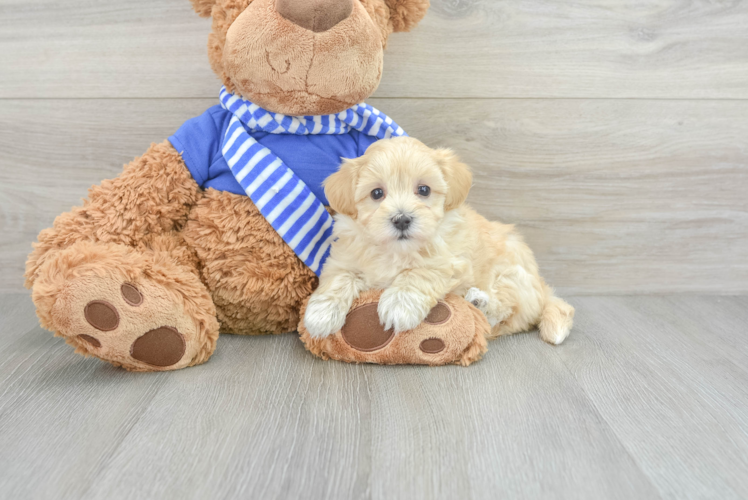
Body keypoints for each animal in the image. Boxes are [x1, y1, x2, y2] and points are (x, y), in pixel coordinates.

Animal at [304, 135, 572, 344]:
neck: (396, 250)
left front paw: (399, 304)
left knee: (508, 312)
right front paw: (321, 313)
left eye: (424, 190)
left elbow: (420, 272)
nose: (402, 219)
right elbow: (339, 279)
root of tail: (542, 287)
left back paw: (479, 302)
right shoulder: (343, 258)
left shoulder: (450, 260)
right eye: (377, 193)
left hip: (511, 274)